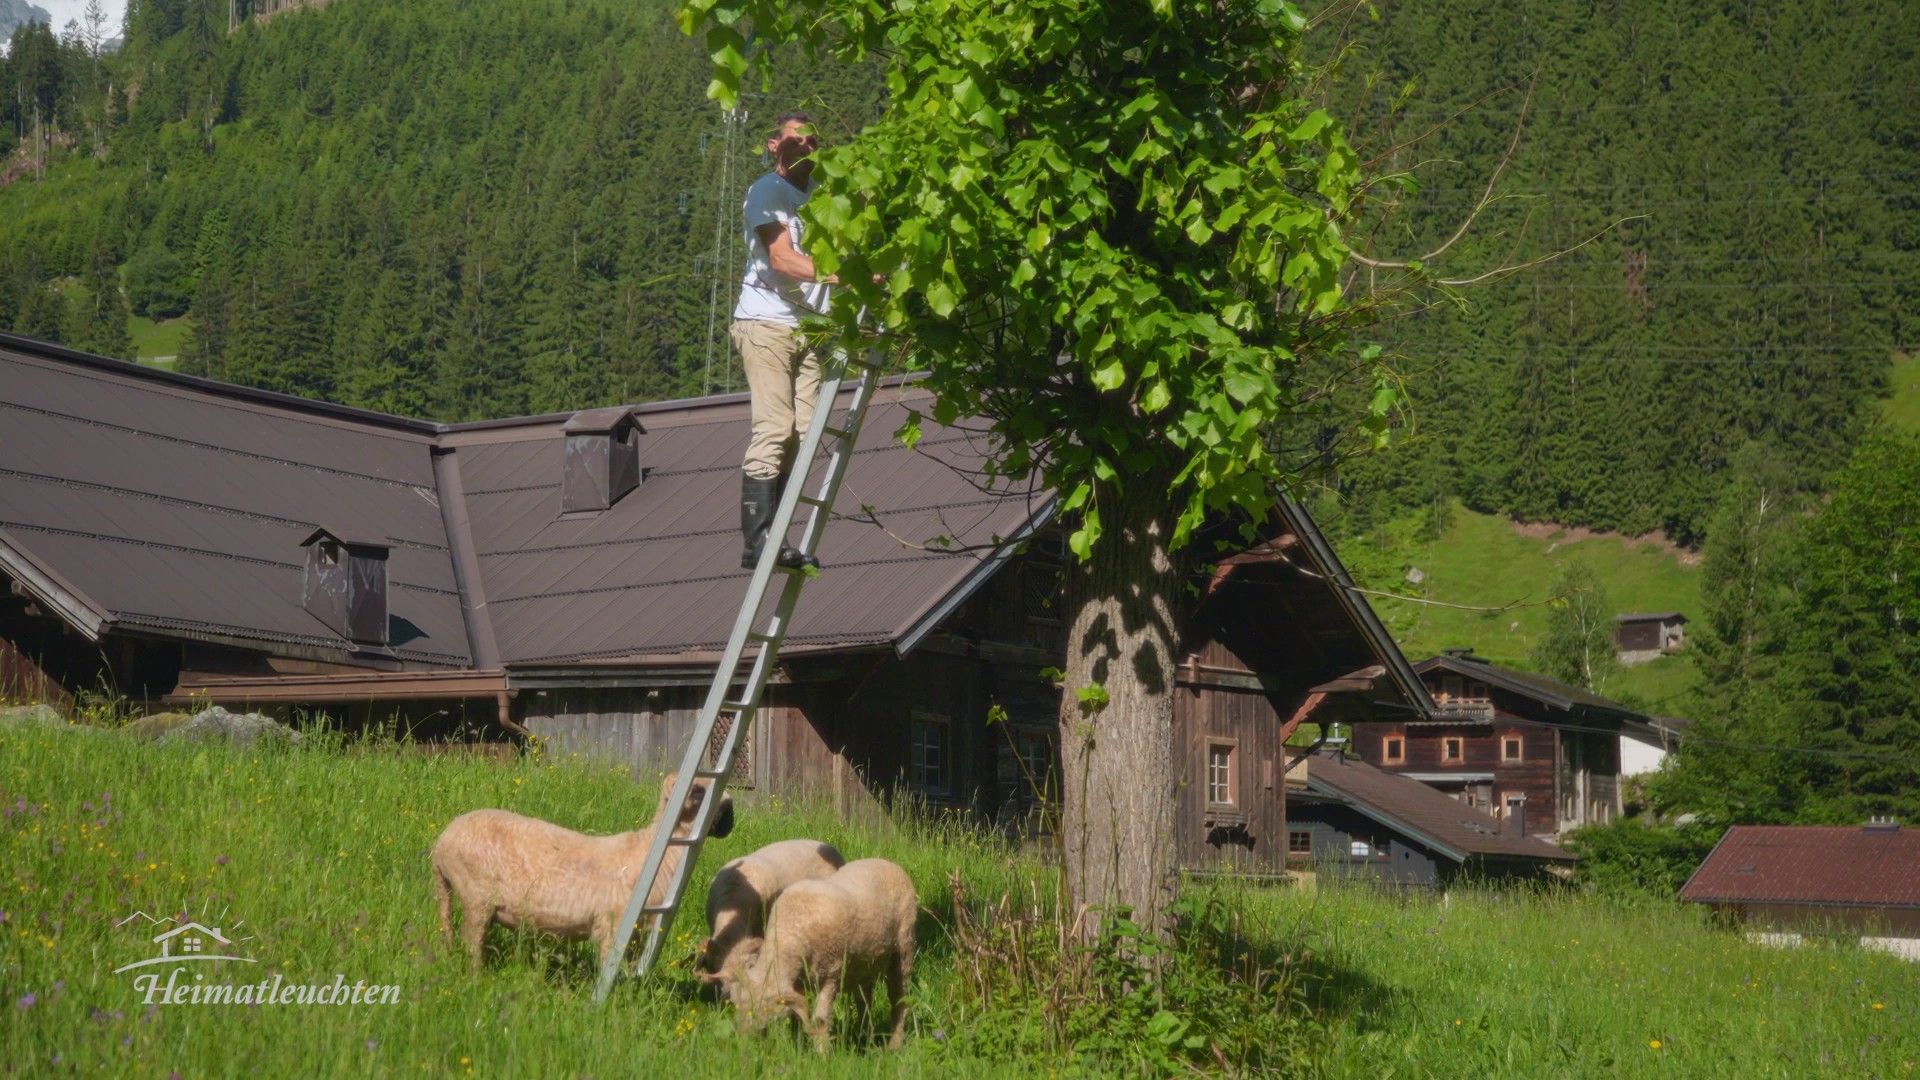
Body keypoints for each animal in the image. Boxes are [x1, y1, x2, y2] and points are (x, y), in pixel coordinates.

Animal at [433, 772, 733, 968]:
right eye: (698, 792)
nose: (730, 822)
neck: (654, 853)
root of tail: (440, 844)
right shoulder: (612, 925)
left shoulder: (637, 932)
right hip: (476, 897)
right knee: (472, 942)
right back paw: (477, 977)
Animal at [725, 853, 921, 1045]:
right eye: (737, 1003)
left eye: (763, 1011)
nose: (743, 1042)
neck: (790, 932)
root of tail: (888, 862)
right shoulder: (799, 983)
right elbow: (797, 1017)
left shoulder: (831, 975)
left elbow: (820, 1021)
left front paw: (822, 1052)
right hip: (864, 963)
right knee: (864, 1000)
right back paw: (864, 1037)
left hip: (903, 949)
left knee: (899, 999)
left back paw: (894, 1044)